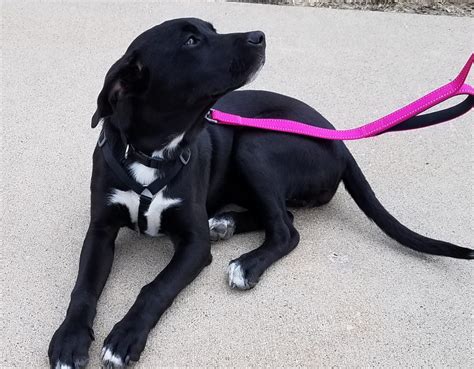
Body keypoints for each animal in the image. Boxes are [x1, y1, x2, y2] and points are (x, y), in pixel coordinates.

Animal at [49, 18, 474, 368]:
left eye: (211, 28)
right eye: (191, 40)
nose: (260, 35)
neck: (152, 153)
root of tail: (339, 142)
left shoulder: (193, 244)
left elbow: (155, 288)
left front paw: (125, 337)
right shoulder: (100, 230)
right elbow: (83, 288)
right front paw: (70, 339)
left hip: (256, 145)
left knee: (287, 229)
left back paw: (247, 263)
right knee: (283, 216)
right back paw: (225, 222)